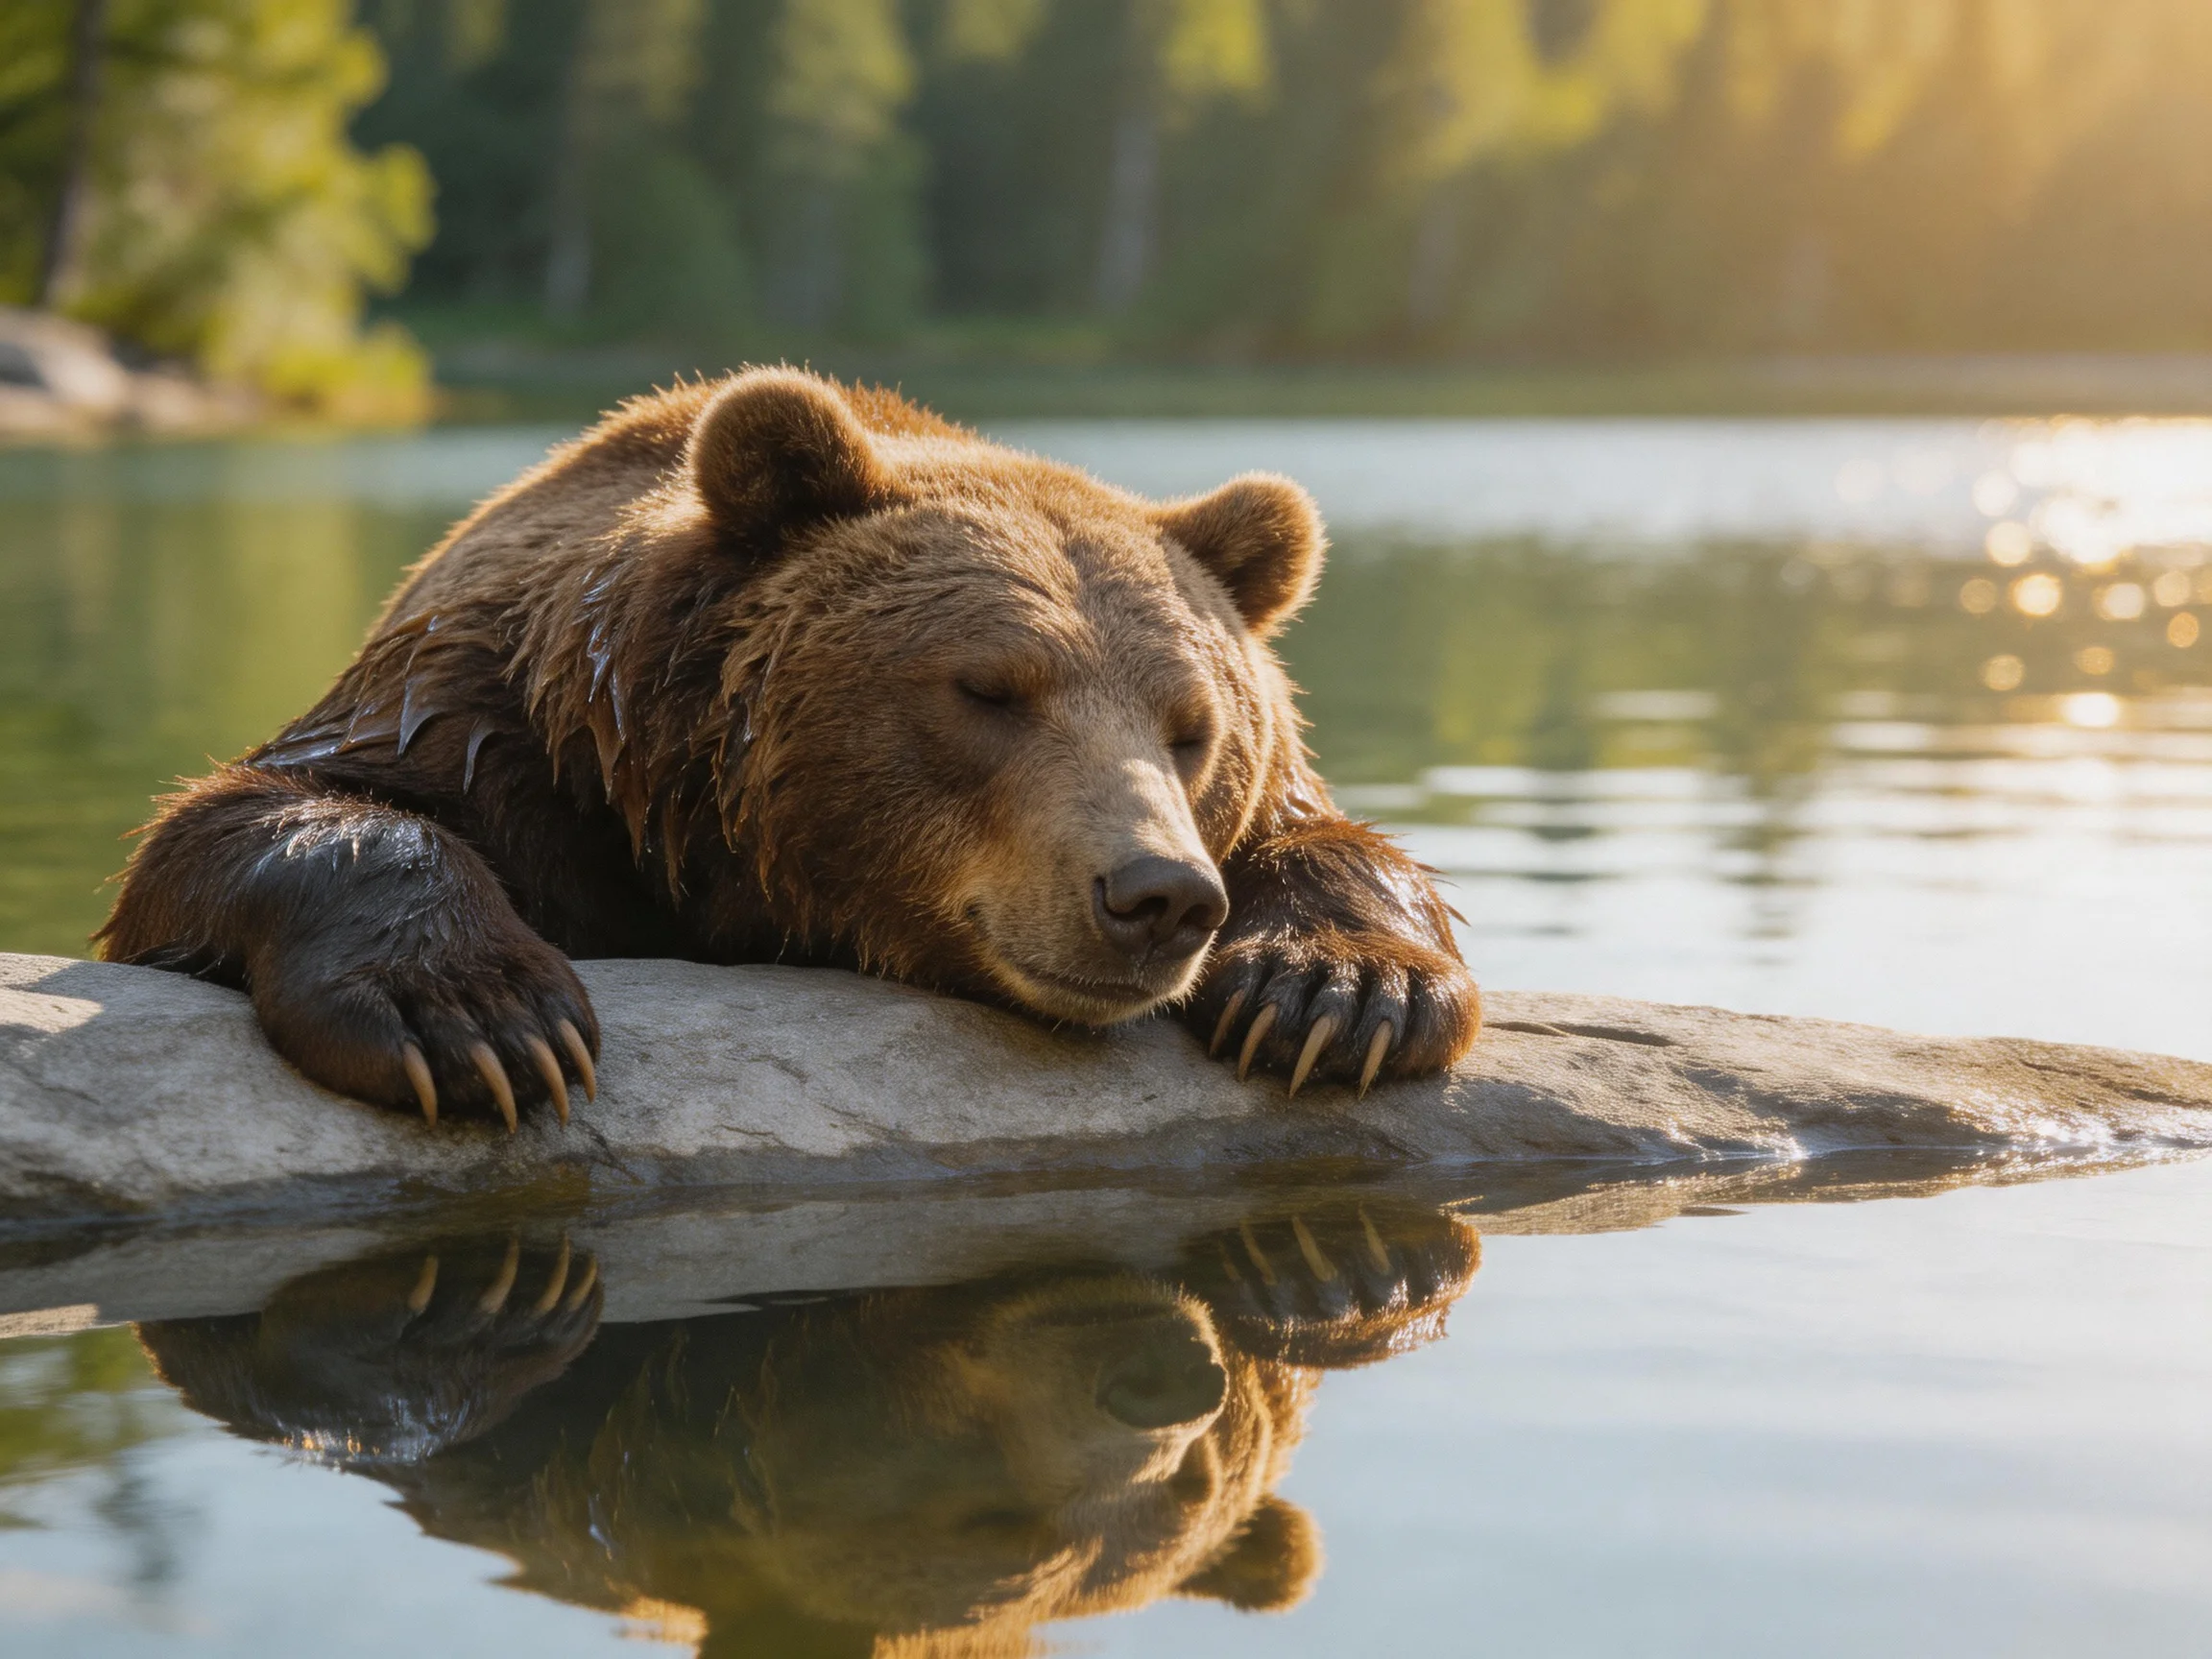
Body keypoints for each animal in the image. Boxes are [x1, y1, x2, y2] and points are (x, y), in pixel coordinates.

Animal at [97, 368, 1481, 1129]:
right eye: (989, 688)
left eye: (1194, 729)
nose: (1155, 895)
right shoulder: (490, 717)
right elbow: (265, 809)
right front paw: (479, 1017)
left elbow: (1331, 841)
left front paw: (1345, 994)